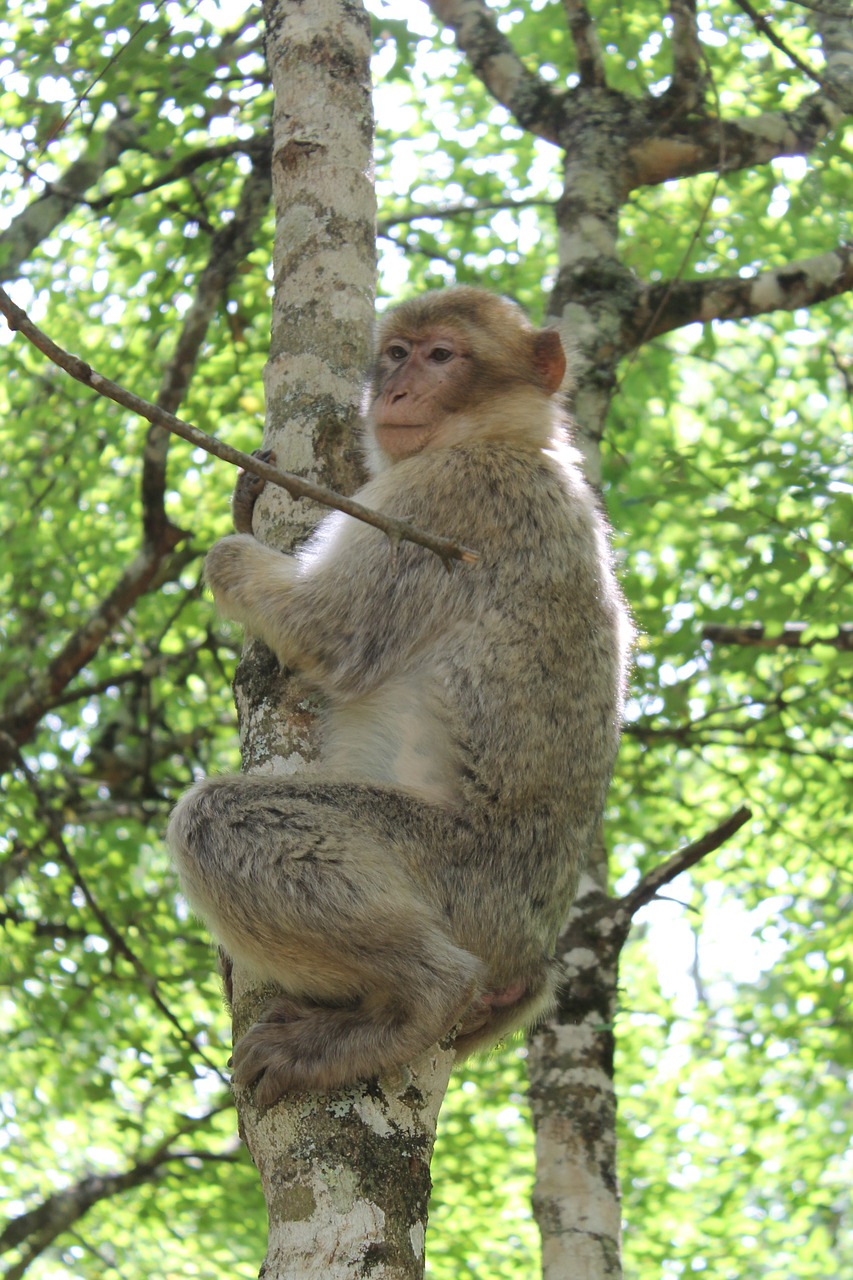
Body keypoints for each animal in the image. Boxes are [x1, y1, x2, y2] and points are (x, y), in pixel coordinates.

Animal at [167, 288, 630, 1100]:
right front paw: (248, 495)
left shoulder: (443, 497)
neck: (516, 441)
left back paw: (414, 1004)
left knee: (221, 820)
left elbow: (330, 631)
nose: (397, 391)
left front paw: (230, 549)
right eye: (396, 353)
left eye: (441, 356)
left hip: (455, 877)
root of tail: (529, 953)